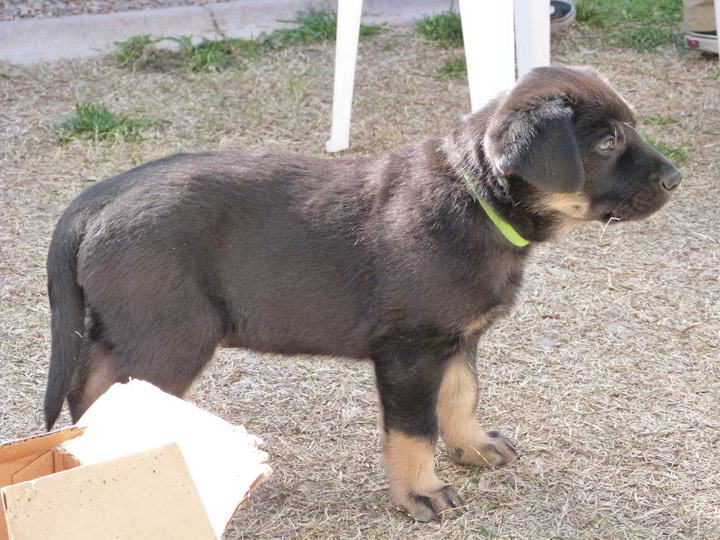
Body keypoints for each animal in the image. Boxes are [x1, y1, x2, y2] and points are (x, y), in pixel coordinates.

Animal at [43, 66, 680, 520]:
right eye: (608, 142)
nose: (677, 179)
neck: (476, 200)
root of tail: (96, 199)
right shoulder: (410, 349)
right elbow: (414, 427)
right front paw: (421, 493)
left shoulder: (457, 337)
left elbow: (460, 396)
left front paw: (473, 447)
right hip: (171, 334)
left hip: (125, 328)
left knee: (89, 391)